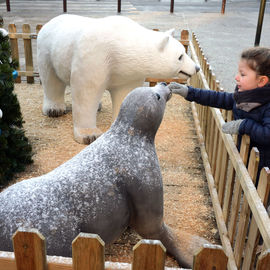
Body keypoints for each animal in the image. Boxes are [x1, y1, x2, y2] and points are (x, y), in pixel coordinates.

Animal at [37, 13, 199, 144]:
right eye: (180, 56)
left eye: (184, 52)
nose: (196, 68)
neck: (120, 45)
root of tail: (48, 22)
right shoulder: (95, 55)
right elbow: (86, 92)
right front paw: (89, 135)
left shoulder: (127, 71)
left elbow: (124, 93)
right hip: (47, 50)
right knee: (51, 80)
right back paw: (54, 109)